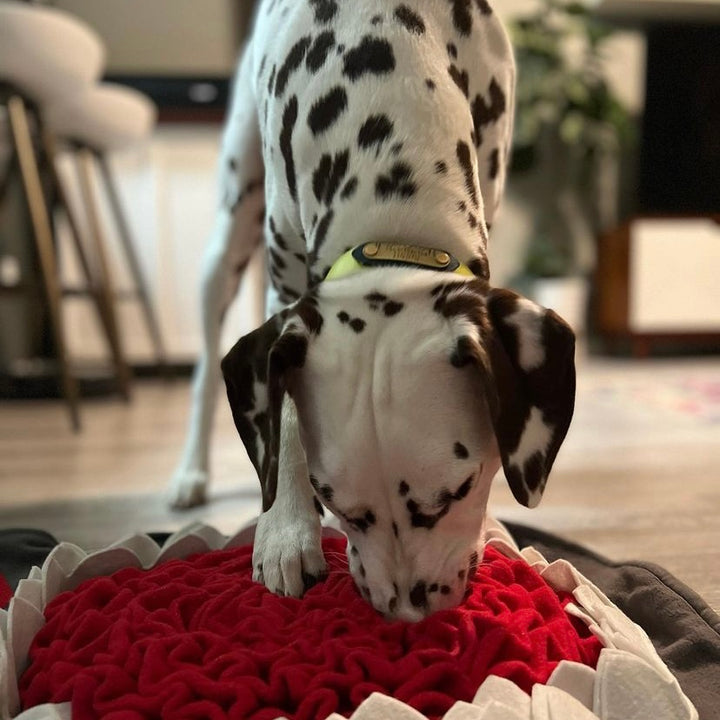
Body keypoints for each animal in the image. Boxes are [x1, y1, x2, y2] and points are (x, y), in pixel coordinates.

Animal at [167, 0, 572, 620]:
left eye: (457, 491)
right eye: (336, 503)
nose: (407, 612)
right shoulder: (285, 287)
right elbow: (282, 418)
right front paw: (285, 532)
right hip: (231, 228)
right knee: (205, 371)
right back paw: (192, 472)